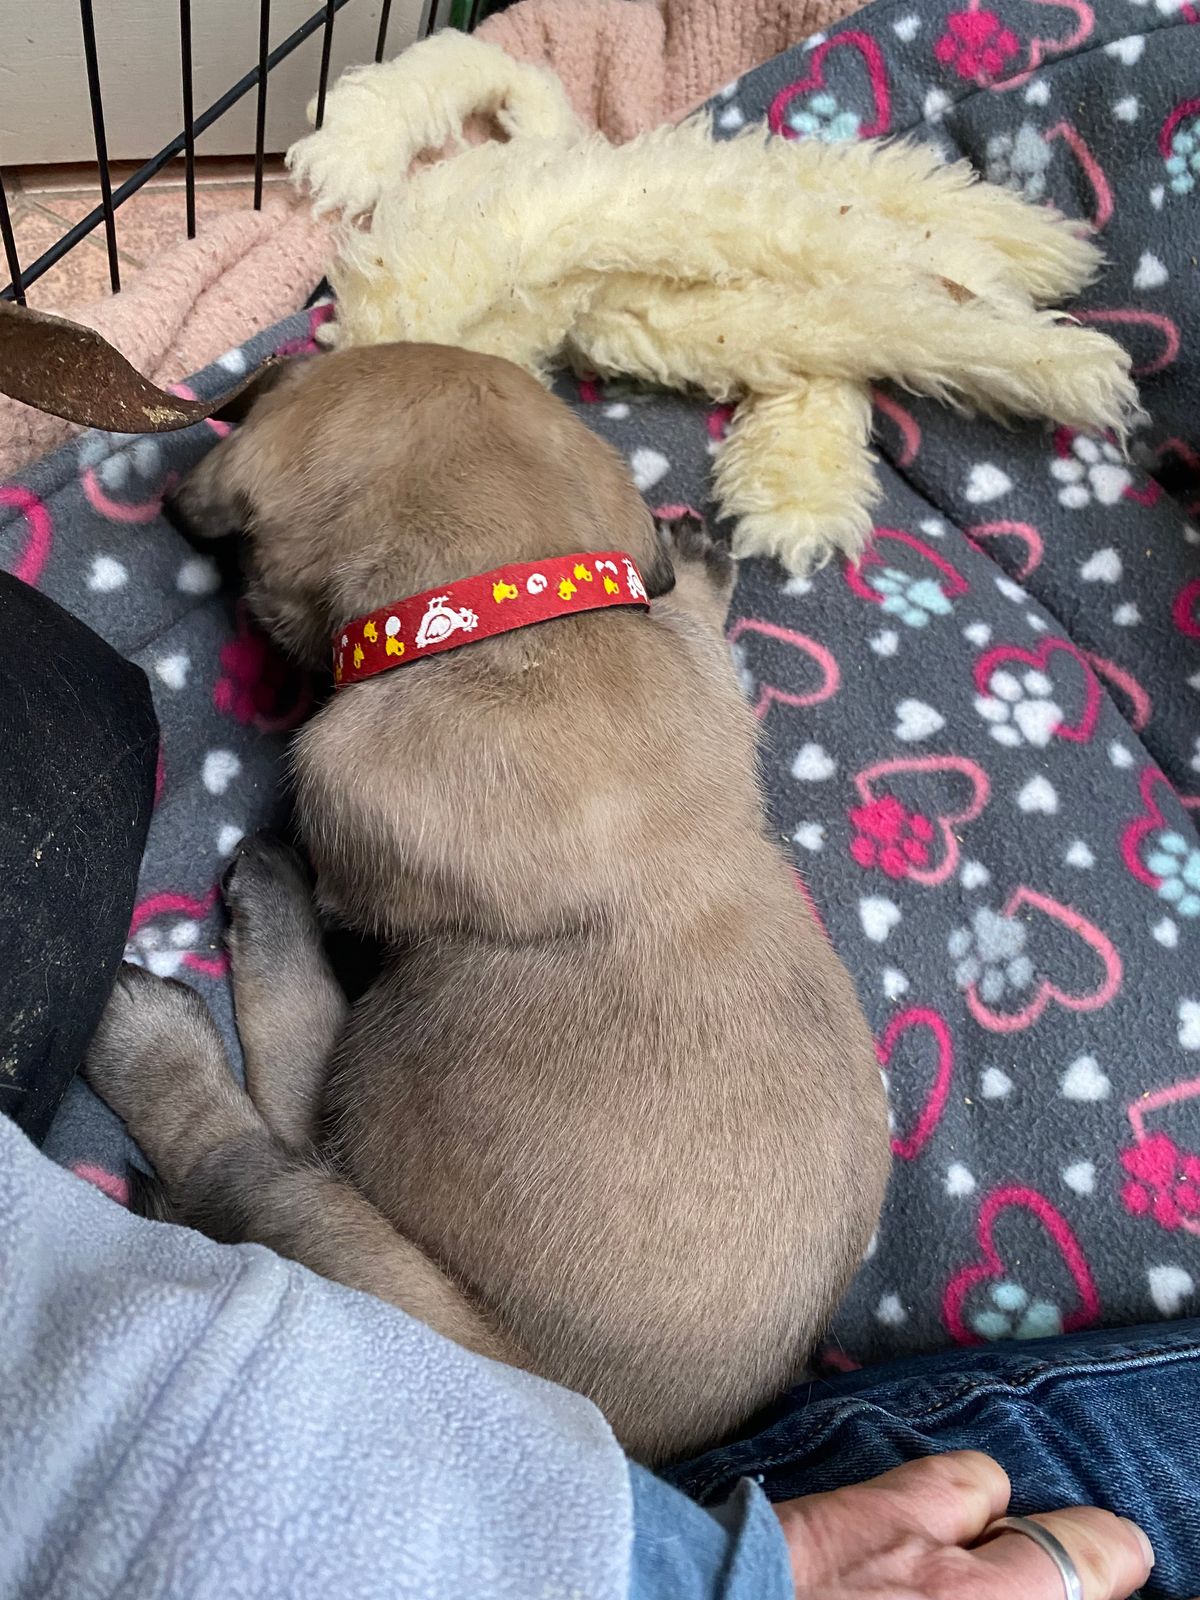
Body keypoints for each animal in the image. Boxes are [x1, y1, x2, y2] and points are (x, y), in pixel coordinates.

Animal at [85, 342, 889, 1462]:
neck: (515, 611)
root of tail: (629, 1439)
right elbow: (690, 622)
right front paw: (695, 570)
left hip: (365, 1251)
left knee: (253, 1143)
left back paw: (171, 1015)